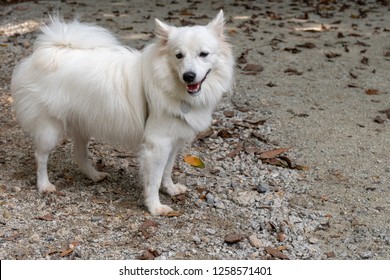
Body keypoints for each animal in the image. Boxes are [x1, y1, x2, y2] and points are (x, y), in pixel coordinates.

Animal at [10, 10, 233, 215]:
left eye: (203, 54)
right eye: (179, 55)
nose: (189, 76)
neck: (167, 82)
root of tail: (47, 50)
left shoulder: (173, 141)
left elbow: (167, 171)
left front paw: (170, 189)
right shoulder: (158, 144)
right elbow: (154, 179)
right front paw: (155, 207)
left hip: (83, 124)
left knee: (79, 155)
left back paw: (95, 176)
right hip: (50, 128)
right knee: (41, 156)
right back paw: (44, 185)